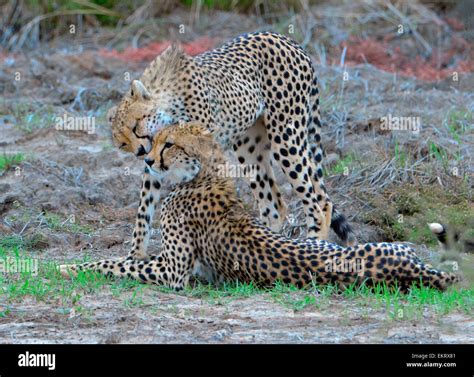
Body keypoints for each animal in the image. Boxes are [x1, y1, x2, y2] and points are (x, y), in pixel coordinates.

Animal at [58, 123, 460, 290]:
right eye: (157, 140)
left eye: (169, 144)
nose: (148, 159)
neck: (205, 174)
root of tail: (415, 269)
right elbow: (122, 259)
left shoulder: (173, 272)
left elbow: (113, 264)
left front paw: (66, 267)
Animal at [108, 31, 356, 262]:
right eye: (123, 143)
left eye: (135, 125)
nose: (140, 151)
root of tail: (286, 39)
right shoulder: (157, 160)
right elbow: (144, 206)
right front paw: (135, 254)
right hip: (249, 149)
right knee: (275, 204)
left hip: (286, 138)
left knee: (318, 204)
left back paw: (314, 243)